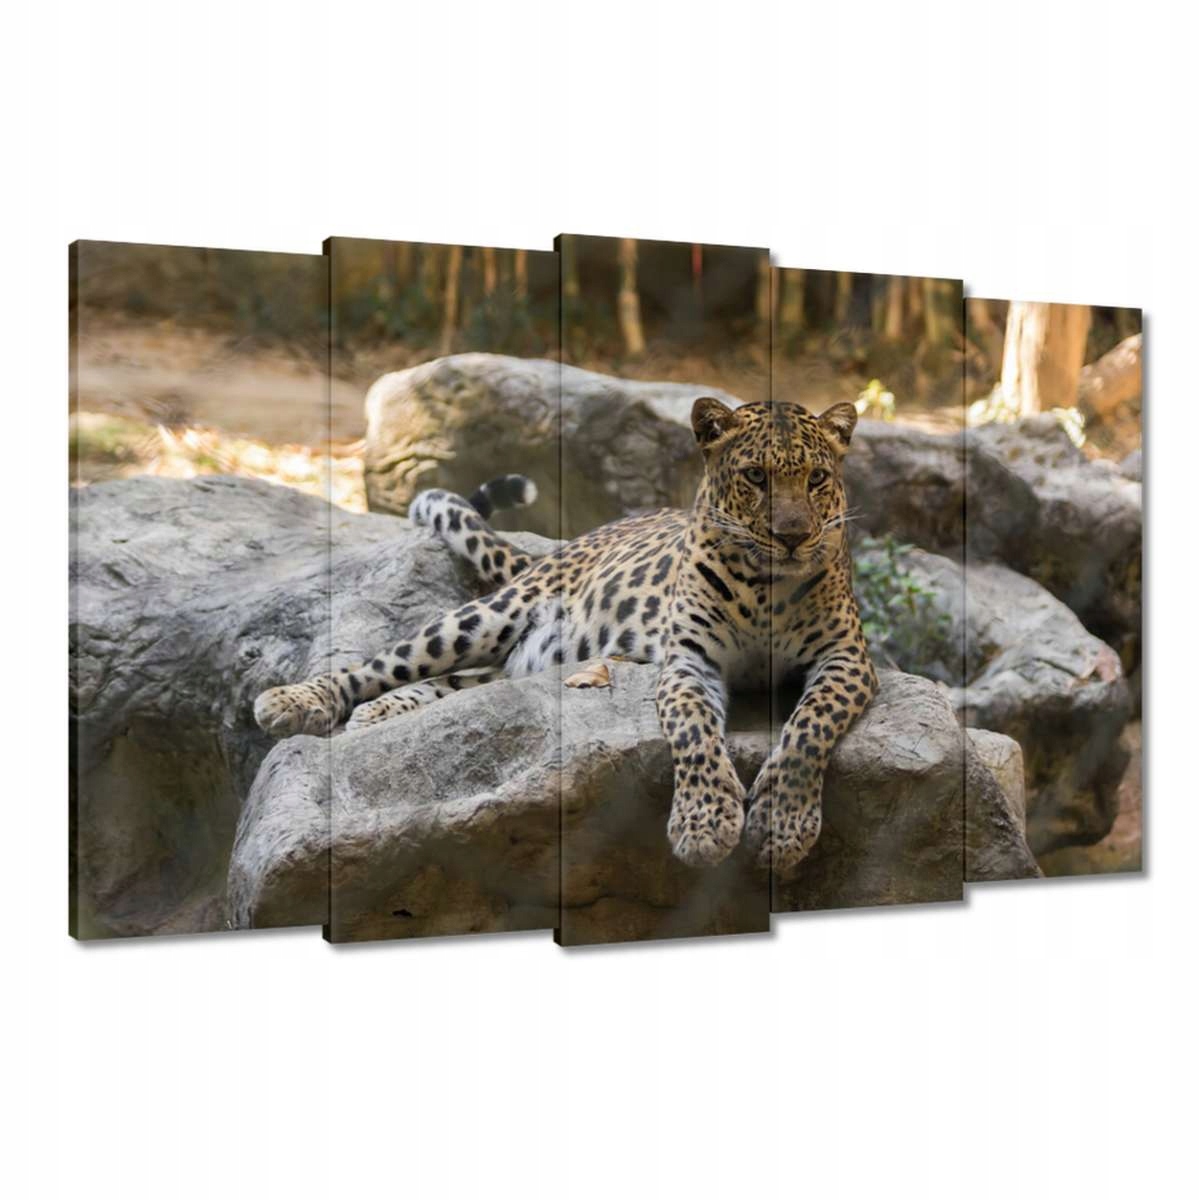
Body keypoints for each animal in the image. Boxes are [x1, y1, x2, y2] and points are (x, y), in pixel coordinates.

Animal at [253, 397, 878, 879]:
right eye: (755, 477)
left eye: (817, 479)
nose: (793, 536)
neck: (766, 586)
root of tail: (567, 545)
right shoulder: (689, 664)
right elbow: (695, 735)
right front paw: (704, 825)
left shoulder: (846, 659)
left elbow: (808, 730)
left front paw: (782, 825)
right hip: (486, 617)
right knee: (388, 662)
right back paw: (294, 701)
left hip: (523, 660)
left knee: (461, 683)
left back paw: (379, 713)